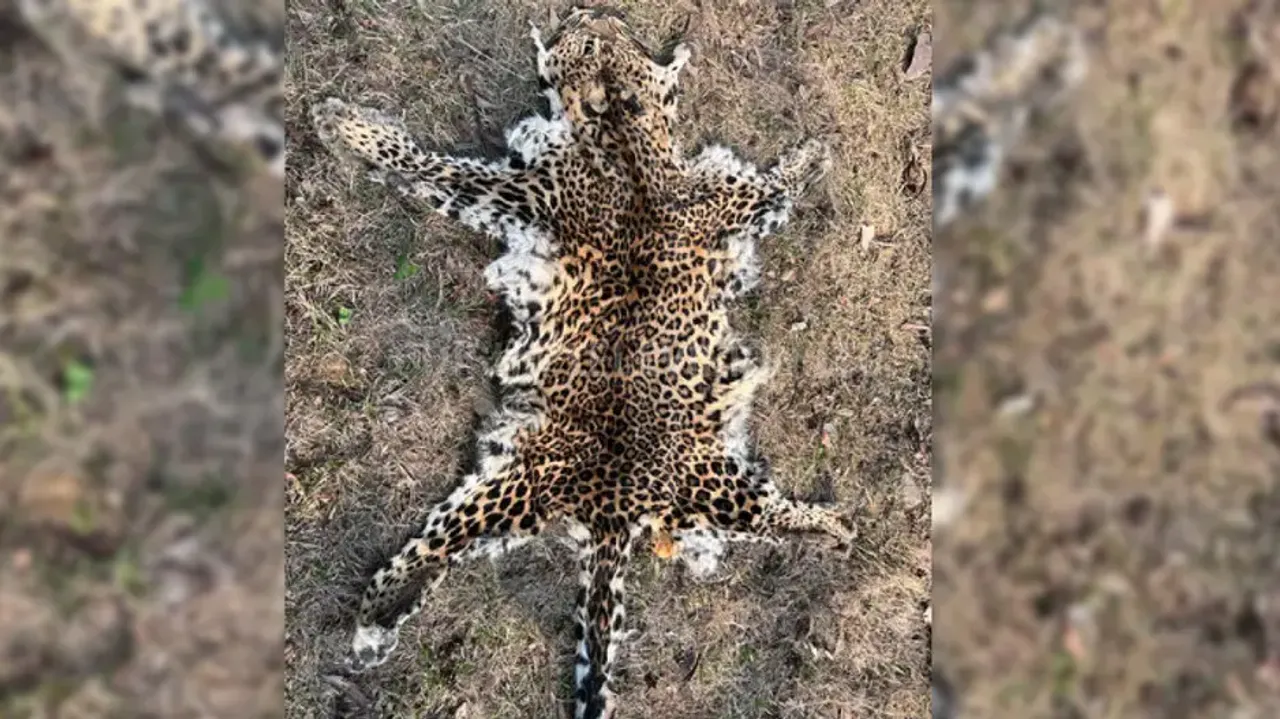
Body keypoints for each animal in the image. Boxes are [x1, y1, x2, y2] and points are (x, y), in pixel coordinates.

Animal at [311, 7, 856, 718]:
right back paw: (376, 620)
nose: (594, 11)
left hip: (643, 485)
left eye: (601, 38)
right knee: (434, 553)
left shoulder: (523, 189)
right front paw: (346, 126)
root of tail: (613, 506)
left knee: (769, 517)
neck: (622, 141)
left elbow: (432, 168)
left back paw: (830, 528)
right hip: (540, 487)